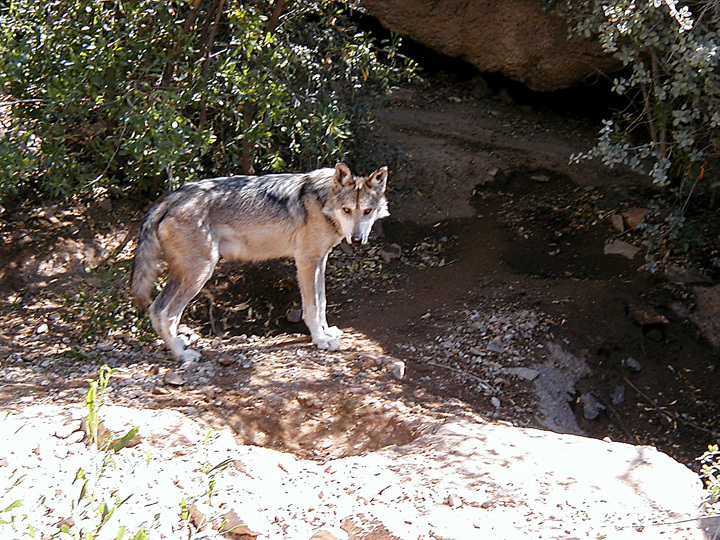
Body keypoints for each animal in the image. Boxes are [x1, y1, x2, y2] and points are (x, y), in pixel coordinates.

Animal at [129, 162, 388, 360]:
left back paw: (177, 345)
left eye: (367, 211)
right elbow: (311, 307)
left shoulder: (320, 260)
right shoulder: (305, 261)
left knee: (155, 309)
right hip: (200, 273)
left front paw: (326, 332)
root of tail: (170, 198)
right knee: (167, 313)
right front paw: (320, 340)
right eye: (347, 210)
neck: (321, 201)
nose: (357, 240)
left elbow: (322, 302)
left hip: (184, 274)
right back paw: (182, 355)